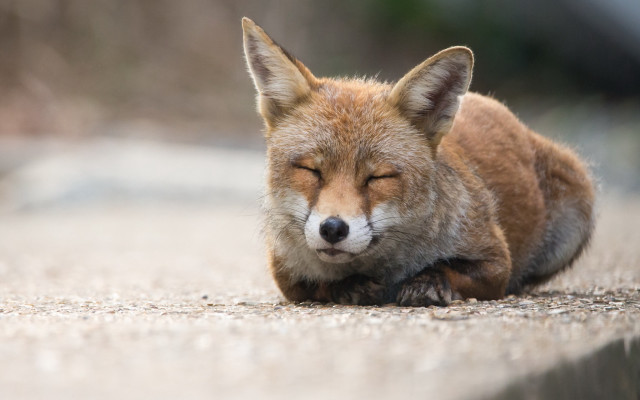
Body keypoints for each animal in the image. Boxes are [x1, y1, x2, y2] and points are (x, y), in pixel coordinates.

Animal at [241, 17, 595, 306]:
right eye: (311, 170)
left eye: (378, 177)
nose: (332, 229)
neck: (383, 265)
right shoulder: (286, 273)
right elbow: (320, 284)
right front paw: (350, 285)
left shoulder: (495, 260)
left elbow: (448, 267)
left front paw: (426, 282)